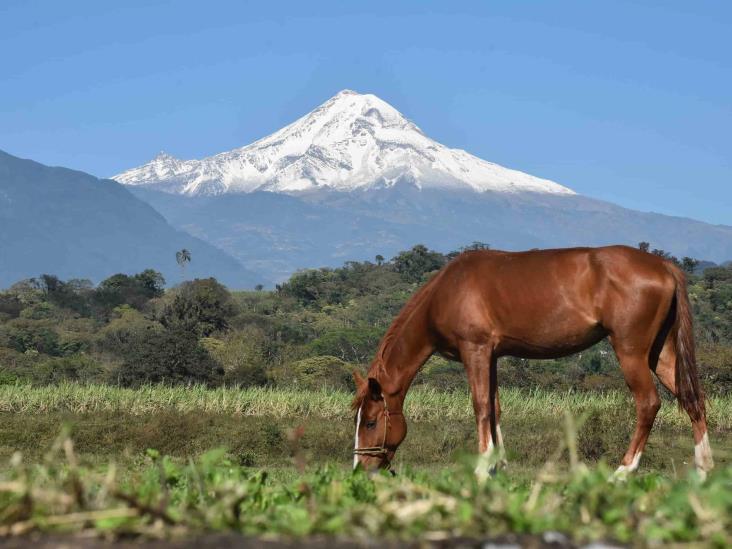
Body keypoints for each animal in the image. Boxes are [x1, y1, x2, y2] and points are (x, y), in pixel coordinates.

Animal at [354, 246, 716, 478]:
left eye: (370, 422)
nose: (359, 469)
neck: (446, 291)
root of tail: (664, 267)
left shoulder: (476, 351)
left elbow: (480, 406)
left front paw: (482, 467)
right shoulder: (493, 356)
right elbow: (495, 409)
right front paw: (498, 467)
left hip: (631, 352)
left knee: (648, 404)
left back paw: (623, 471)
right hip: (661, 353)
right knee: (692, 400)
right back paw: (704, 471)